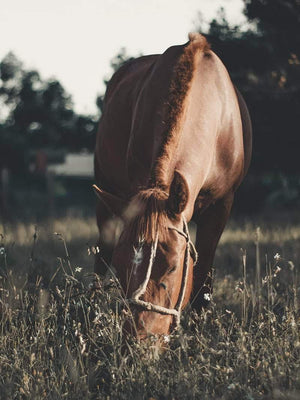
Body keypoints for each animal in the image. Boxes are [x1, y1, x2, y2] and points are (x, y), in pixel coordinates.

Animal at [93, 32, 251, 338]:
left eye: (174, 267)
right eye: (121, 266)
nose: (140, 340)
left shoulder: (221, 206)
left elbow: (203, 277)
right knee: (100, 253)